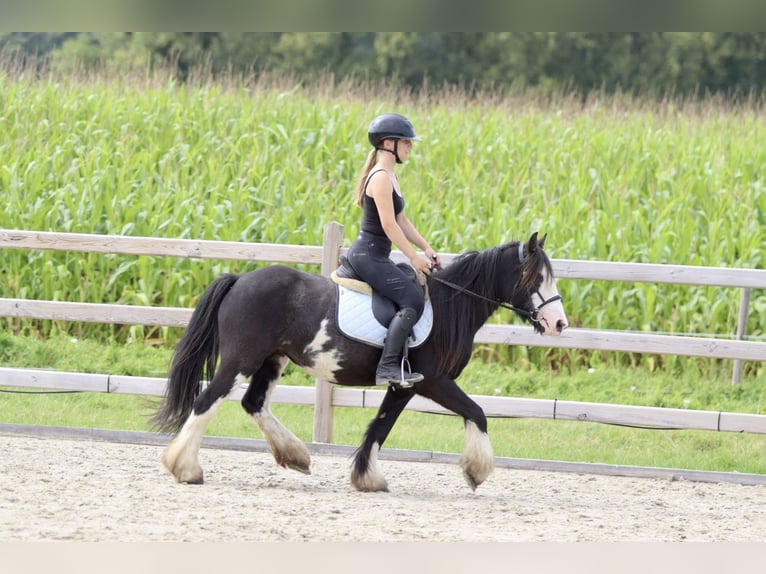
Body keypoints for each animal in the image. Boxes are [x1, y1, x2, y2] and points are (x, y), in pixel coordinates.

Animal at [153, 234, 568, 496]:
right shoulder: (433, 381)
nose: (559, 324)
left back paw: (296, 456)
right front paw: (476, 471)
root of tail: (240, 279)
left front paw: (367, 479)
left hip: (272, 360)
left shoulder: (405, 384)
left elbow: (380, 427)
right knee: (207, 401)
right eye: (535, 277)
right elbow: (477, 413)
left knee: (253, 403)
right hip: (242, 359)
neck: (449, 307)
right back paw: (185, 468)